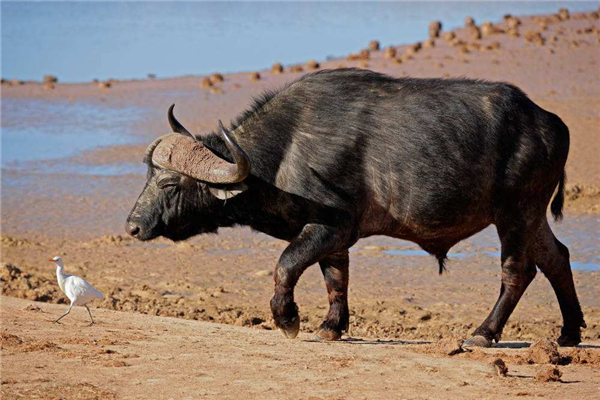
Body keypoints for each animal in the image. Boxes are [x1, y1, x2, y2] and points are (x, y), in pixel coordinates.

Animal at [124, 69, 584, 346]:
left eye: (169, 183)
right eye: (147, 174)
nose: (132, 227)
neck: (285, 151)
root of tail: (550, 123)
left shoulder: (330, 228)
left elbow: (285, 266)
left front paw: (288, 320)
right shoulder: (335, 238)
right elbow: (335, 279)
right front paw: (332, 327)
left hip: (515, 214)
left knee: (517, 272)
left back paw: (484, 333)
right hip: (531, 217)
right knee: (556, 258)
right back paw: (569, 333)